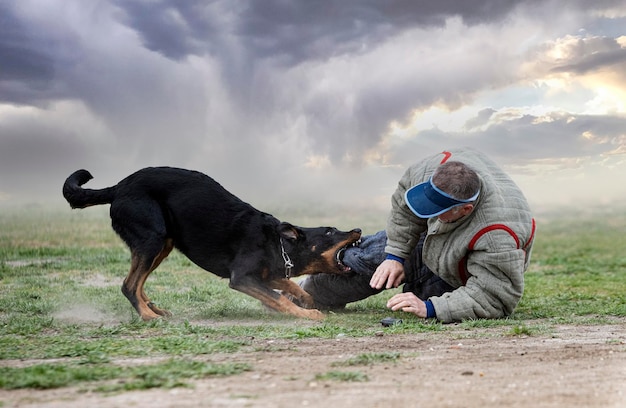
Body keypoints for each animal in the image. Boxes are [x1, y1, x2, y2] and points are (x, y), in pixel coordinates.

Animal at [62, 167, 360, 320]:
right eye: (330, 231)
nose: (358, 229)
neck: (279, 245)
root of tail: (118, 187)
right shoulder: (242, 278)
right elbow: (277, 298)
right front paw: (308, 314)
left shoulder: (267, 274)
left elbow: (290, 287)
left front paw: (306, 301)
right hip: (152, 239)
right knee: (128, 285)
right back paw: (148, 316)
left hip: (163, 244)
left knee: (137, 283)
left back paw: (153, 308)